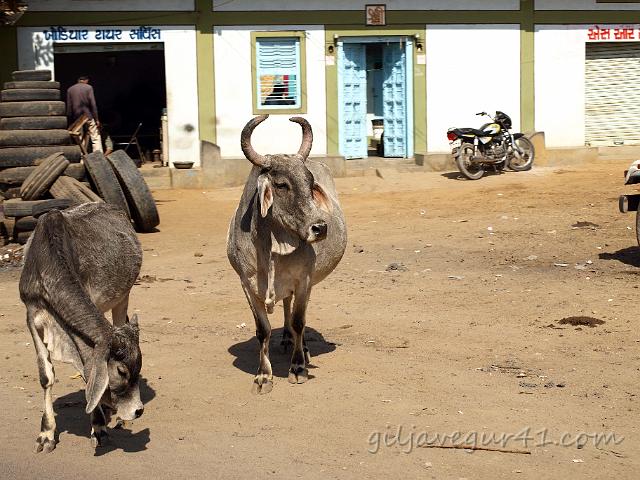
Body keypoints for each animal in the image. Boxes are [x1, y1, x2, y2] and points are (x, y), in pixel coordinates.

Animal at [228, 116, 348, 394]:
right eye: (282, 184)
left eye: (310, 183)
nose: (320, 227)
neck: (272, 247)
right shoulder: (246, 284)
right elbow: (263, 330)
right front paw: (263, 376)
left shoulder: (304, 280)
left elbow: (298, 322)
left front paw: (298, 367)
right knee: (285, 305)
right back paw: (285, 339)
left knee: (295, 316)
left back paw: (300, 347)